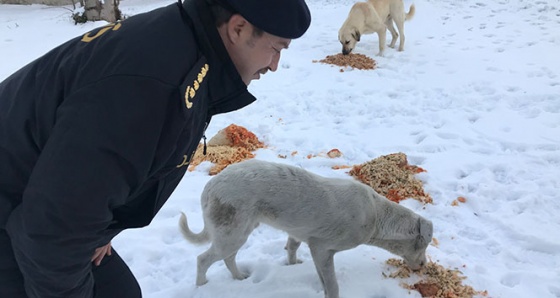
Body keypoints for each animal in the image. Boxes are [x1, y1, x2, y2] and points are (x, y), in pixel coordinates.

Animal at [179, 159, 434, 298]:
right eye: (423, 245)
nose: (424, 266)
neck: (377, 217)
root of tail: (210, 187)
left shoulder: (301, 237)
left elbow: (293, 250)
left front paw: (294, 266)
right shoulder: (321, 248)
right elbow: (331, 284)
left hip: (239, 232)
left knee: (228, 257)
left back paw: (239, 277)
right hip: (232, 234)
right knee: (203, 259)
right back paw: (202, 286)